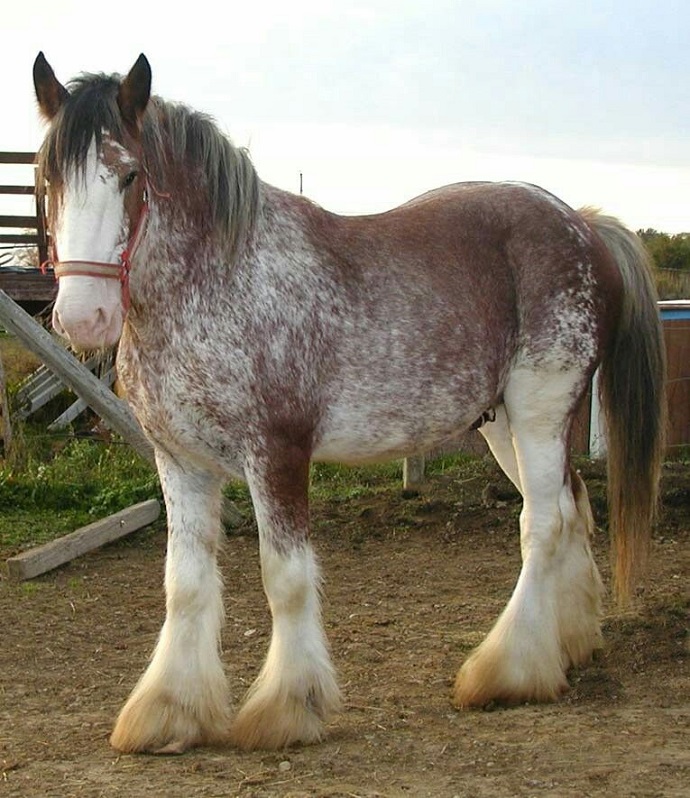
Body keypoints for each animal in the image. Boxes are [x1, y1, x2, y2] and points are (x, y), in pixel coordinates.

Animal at [33, 51, 668, 756]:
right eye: (45, 175)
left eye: (129, 175)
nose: (83, 318)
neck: (215, 281)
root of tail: (583, 223)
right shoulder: (181, 462)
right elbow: (185, 585)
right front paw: (170, 712)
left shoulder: (277, 454)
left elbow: (284, 578)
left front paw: (288, 707)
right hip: (504, 425)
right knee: (569, 504)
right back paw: (571, 644)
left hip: (539, 411)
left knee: (543, 524)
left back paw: (507, 671)